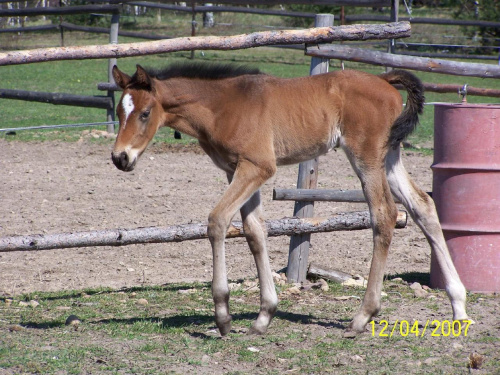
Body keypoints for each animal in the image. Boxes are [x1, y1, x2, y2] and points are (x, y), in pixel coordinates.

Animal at [109, 64, 468, 338]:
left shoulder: (257, 167)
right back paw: (458, 306)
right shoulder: (237, 170)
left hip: (366, 156)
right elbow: (255, 231)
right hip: (389, 156)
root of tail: (383, 79)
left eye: (145, 113)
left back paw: (362, 316)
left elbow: (218, 221)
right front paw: (263, 316)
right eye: (118, 111)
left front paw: (223, 315)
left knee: (385, 214)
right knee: (423, 206)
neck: (222, 106)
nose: (120, 158)